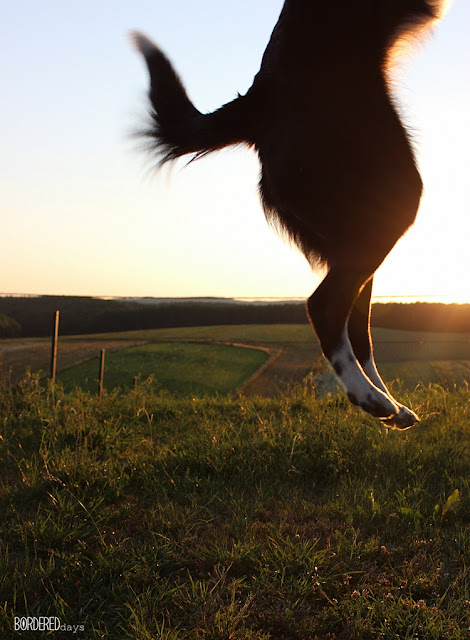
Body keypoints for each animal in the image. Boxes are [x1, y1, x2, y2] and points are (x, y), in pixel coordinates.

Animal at [131, 2, 448, 430]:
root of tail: (259, 99)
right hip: (392, 197)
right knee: (326, 306)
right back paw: (370, 398)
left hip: (358, 224)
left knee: (355, 322)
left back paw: (389, 404)